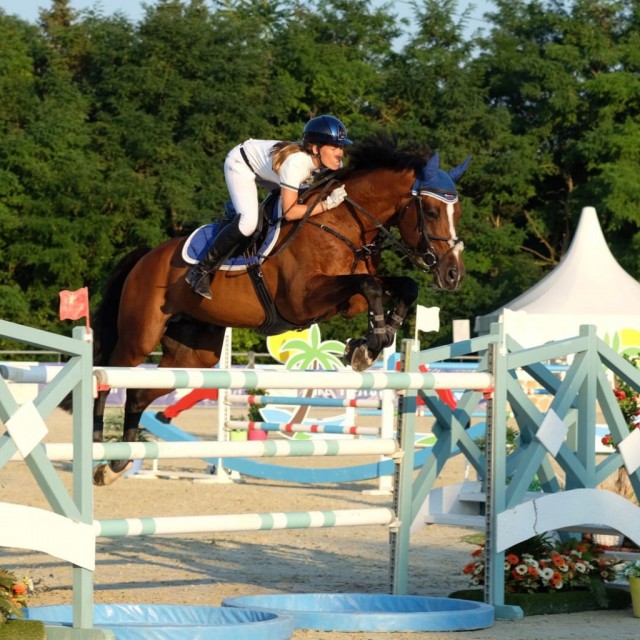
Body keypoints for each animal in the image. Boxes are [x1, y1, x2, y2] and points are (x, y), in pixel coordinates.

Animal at [90, 136, 470, 484]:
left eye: (458, 212)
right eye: (432, 212)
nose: (453, 275)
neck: (341, 222)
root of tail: (146, 256)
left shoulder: (348, 299)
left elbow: (400, 286)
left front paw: (373, 340)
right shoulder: (303, 299)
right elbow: (371, 286)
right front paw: (370, 343)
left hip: (193, 356)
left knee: (138, 393)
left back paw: (116, 464)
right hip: (139, 338)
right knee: (108, 377)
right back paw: (97, 448)